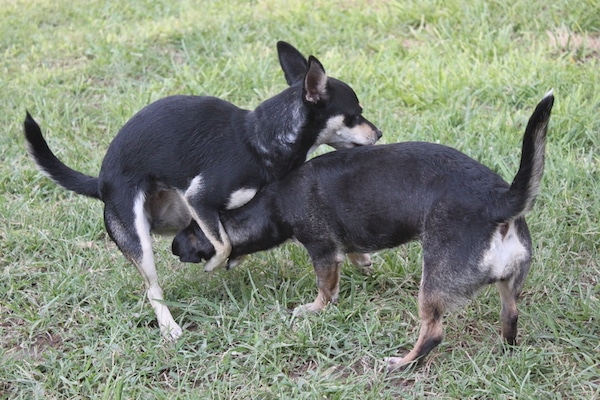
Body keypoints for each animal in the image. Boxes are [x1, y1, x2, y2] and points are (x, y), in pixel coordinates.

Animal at [23, 40, 382, 340]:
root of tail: (101, 182)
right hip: (140, 234)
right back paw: (168, 326)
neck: (260, 137)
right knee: (153, 288)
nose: (378, 133)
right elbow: (223, 244)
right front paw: (215, 266)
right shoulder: (202, 198)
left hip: (176, 212)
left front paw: (358, 256)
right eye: (355, 116)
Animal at [172, 92, 552, 370]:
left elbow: (326, 289)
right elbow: (356, 253)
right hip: (508, 283)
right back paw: (506, 349)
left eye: (191, 230)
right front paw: (365, 266)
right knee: (511, 314)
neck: (273, 200)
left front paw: (314, 309)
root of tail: (499, 201)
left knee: (433, 332)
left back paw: (402, 363)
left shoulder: (323, 252)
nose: (173, 247)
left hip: (433, 286)